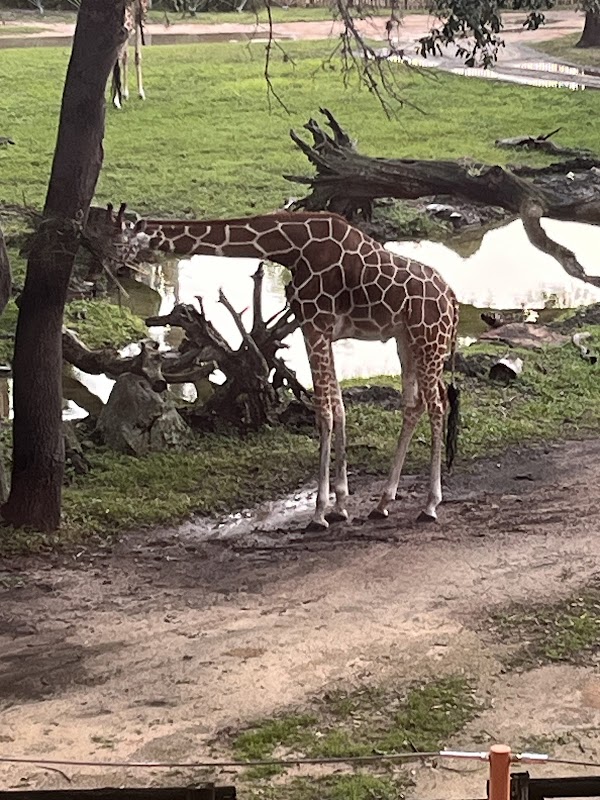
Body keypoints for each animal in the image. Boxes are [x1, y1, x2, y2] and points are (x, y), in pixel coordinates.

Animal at [130, 210, 461, 532]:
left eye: (128, 237)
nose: (132, 266)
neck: (291, 246)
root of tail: (452, 299)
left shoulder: (314, 326)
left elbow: (324, 412)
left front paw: (319, 512)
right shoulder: (324, 332)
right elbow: (339, 408)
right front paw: (340, 505)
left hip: (429, 339)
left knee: (436, 404)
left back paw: (430, 505)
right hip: (407, 340)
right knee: (414, 404)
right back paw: (382, 504)